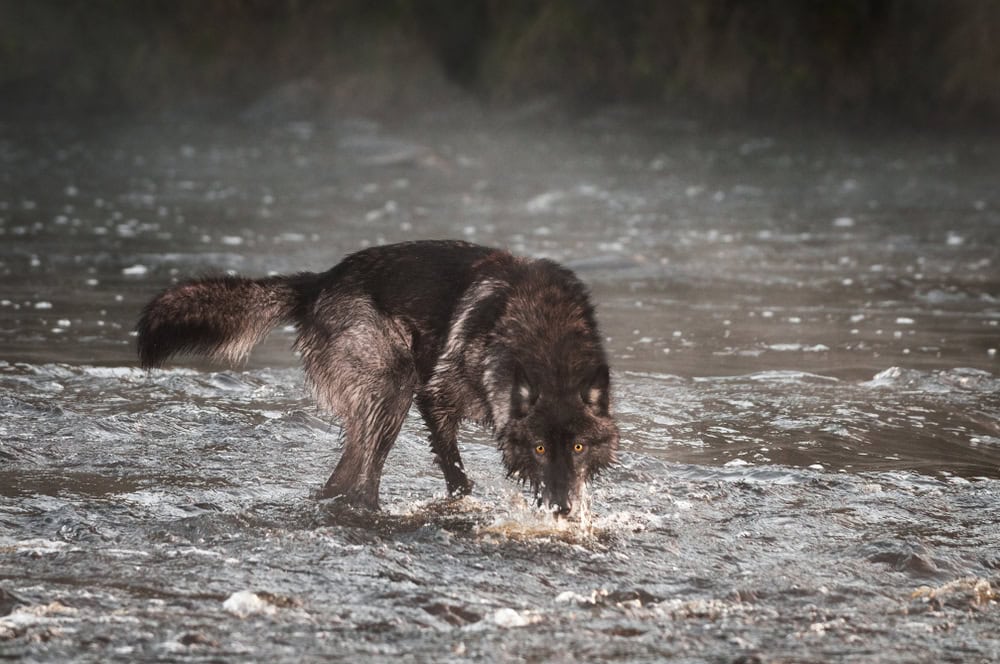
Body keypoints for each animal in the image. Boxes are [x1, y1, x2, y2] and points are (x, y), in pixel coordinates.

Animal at [136, 240, 619, 515]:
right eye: (540, 448)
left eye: (578, 447)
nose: (562, 508)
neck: (545, 339)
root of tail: (320, 280)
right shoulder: (433, 397)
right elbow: (457, 475)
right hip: (394, 387)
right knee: (361, 483)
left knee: (339, 482)